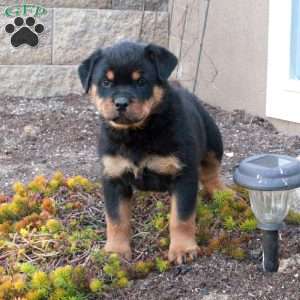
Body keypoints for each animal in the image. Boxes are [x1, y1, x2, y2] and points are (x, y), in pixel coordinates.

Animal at [79, 41, 225, 264]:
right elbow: (116, 219)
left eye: (141, 82)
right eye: (105, 82)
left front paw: (183, 249)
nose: (121, 102)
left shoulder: (184, 174)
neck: (136, 133)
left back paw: (222, 193)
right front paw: (116, 251)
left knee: (211, 170)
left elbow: (181, 217)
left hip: (214, 141)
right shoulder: (113, 177)